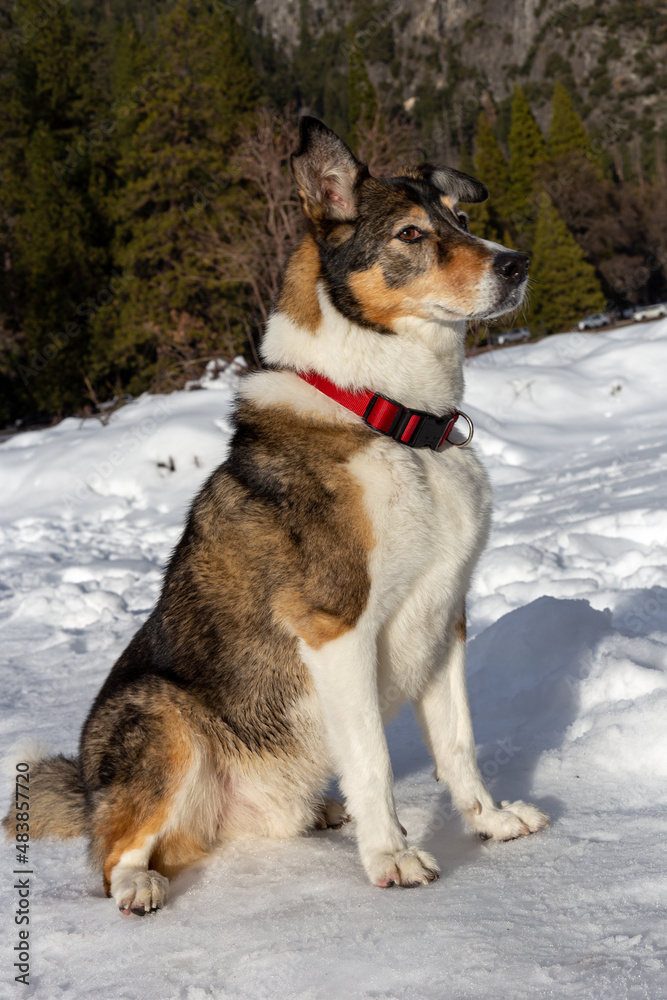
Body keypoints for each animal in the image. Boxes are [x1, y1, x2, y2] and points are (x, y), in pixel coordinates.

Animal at [3, 117, 548, 916]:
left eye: (460, 218)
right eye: (411, 233)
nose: (517, 264)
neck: (392, 422)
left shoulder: (445, 619)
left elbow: (457, 745)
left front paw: (490, 821)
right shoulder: (336, 627)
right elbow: (374, 762)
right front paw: (391, 856)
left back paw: (321, 813)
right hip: (160, 714)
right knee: (113, 855)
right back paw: (139, 883)